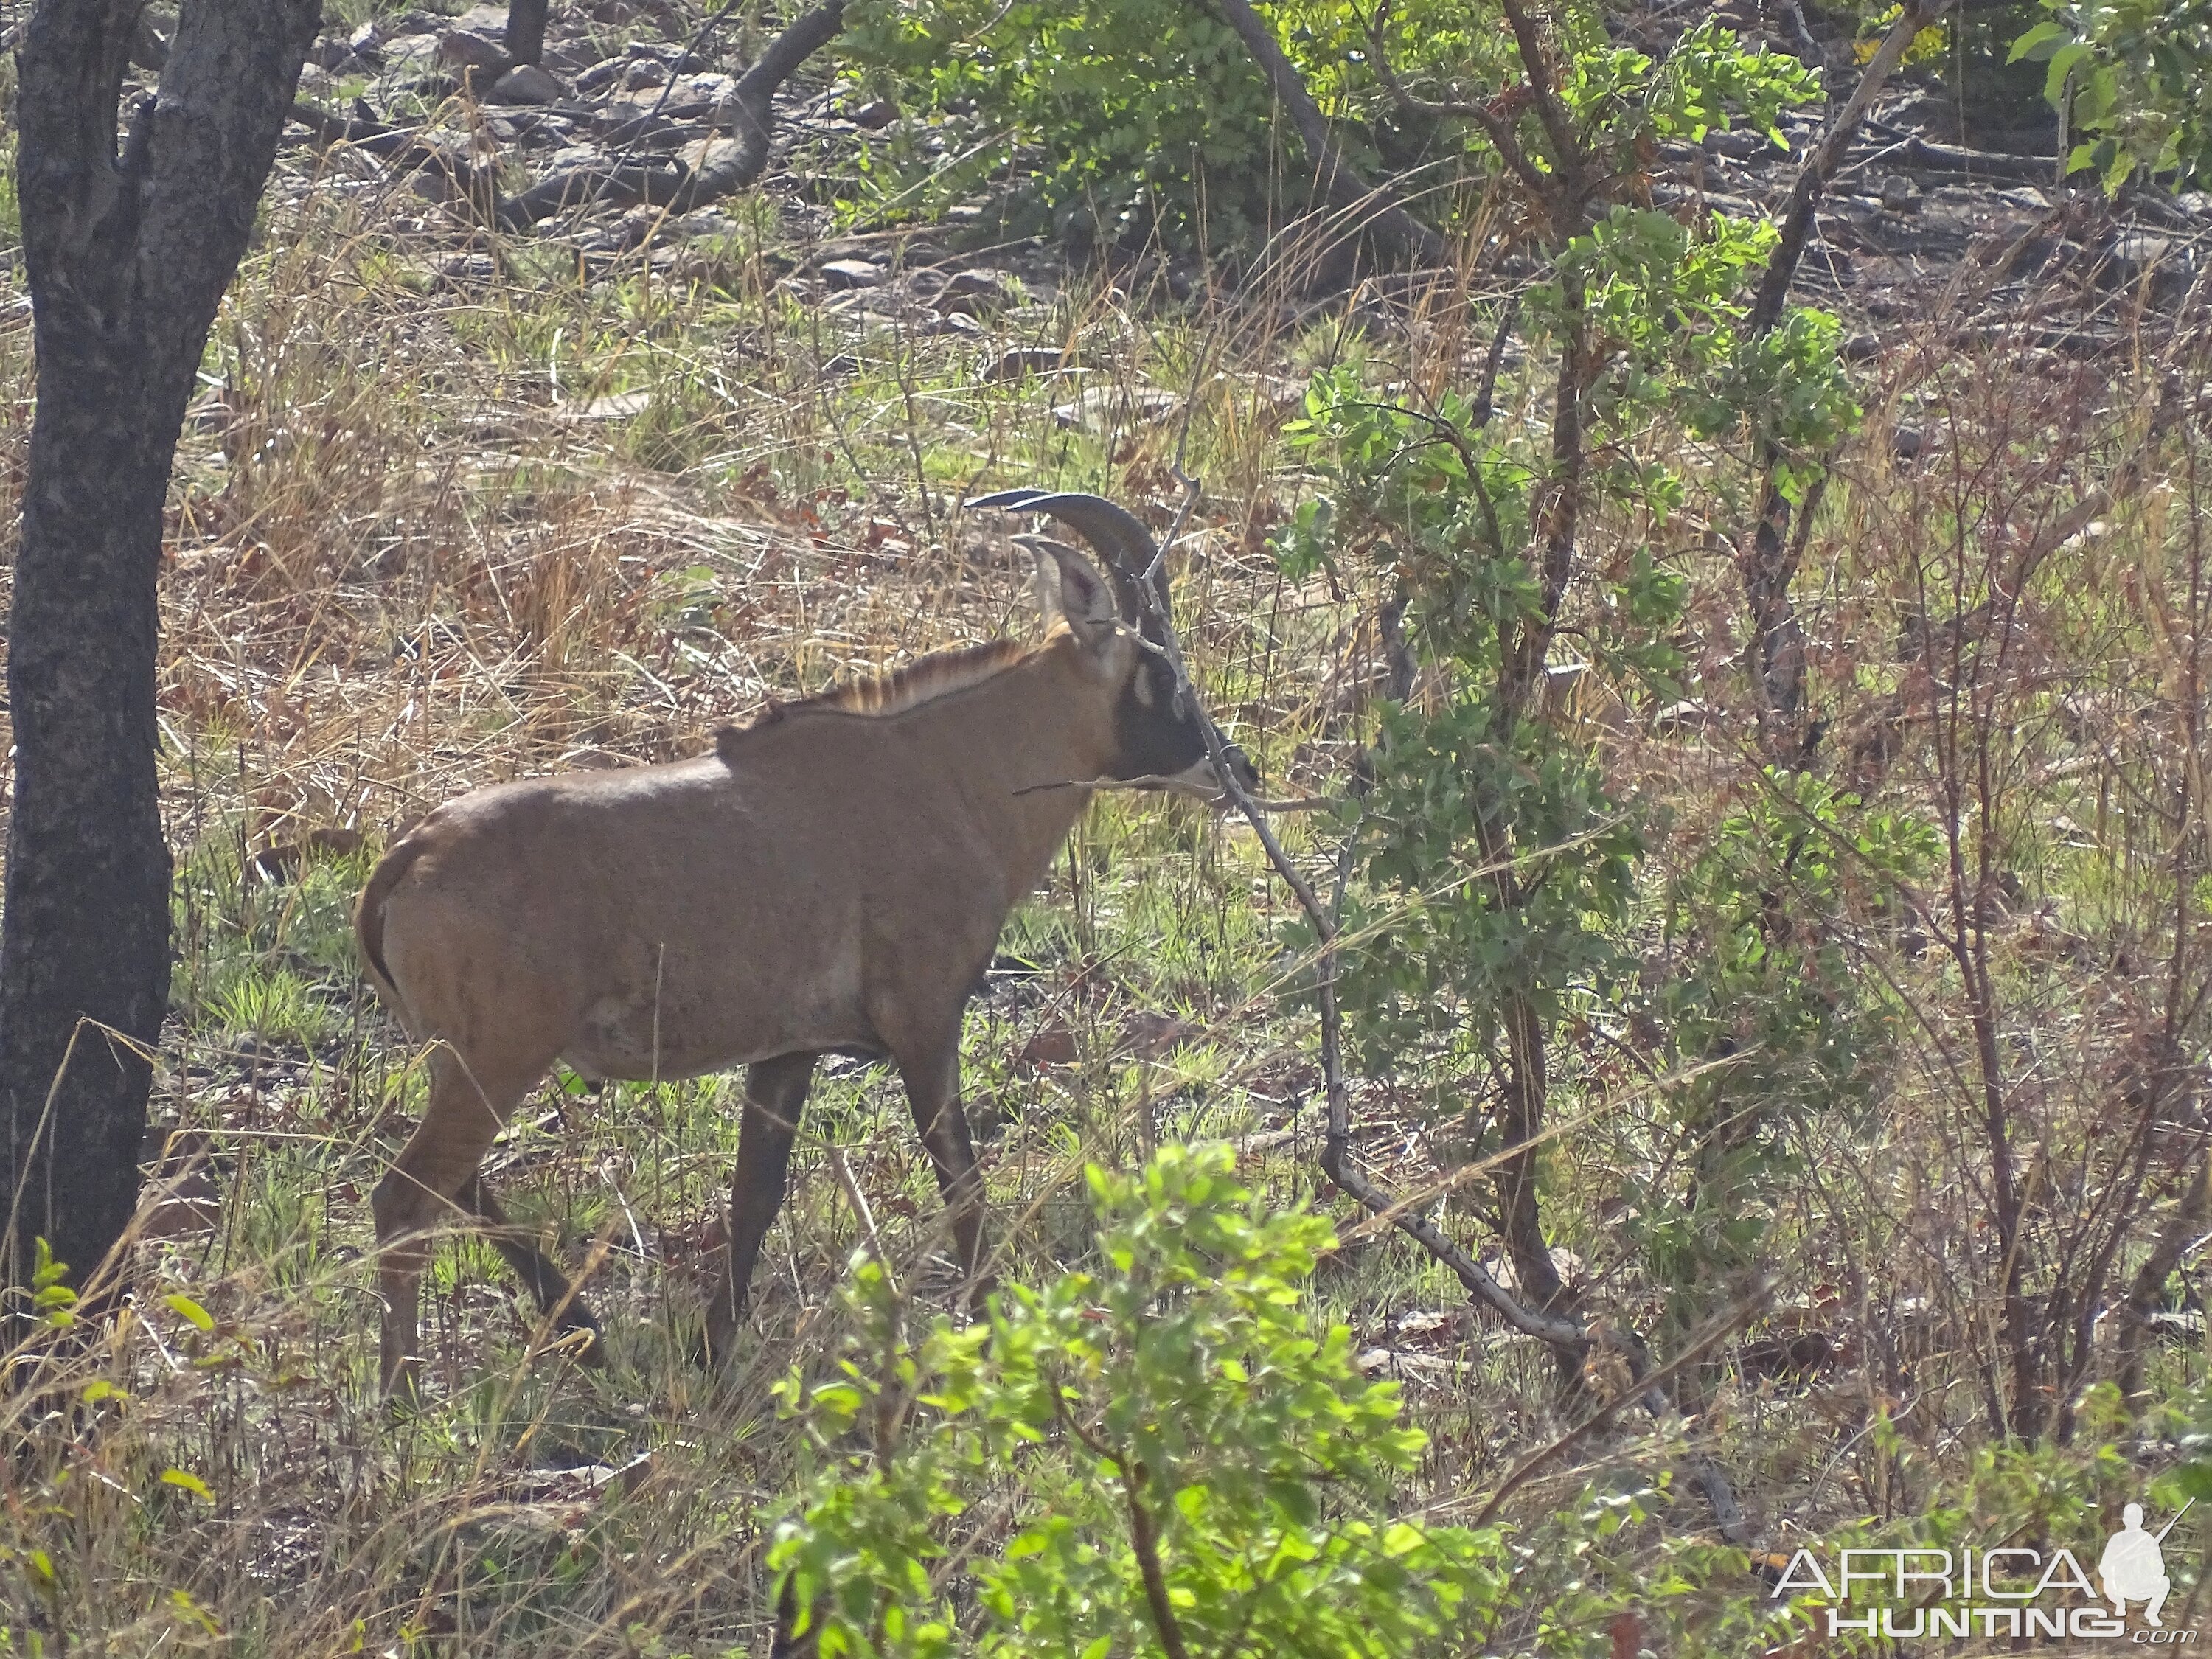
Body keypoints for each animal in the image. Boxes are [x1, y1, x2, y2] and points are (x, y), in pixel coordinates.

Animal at [354, 498, 1256, 1407]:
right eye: (1163, 674)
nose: (1237, 770)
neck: (948, 770)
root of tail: (413, 853)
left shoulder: (789, 1050)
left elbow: (755, 1195)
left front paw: (713, 1354)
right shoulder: (925, 1022)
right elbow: (961, 1184)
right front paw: (997, 1335)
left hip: (464, 1061)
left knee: (455, 1184)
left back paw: (584, 1334)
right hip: (500, 1058)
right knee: (408, 1195)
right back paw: (403, 1397)